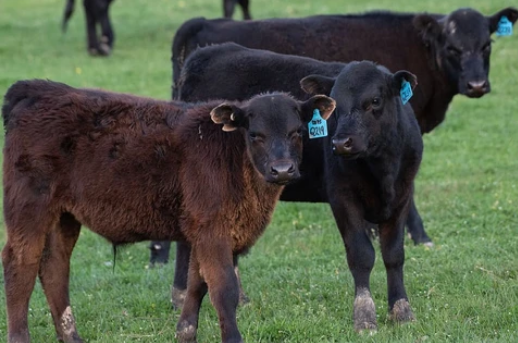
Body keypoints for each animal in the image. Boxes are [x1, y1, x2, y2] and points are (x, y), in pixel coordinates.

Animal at [1, 78, 338, 343]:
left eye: (297, 132)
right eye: (255, 134)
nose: (282, 169)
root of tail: (37, 90)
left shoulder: (202, 231)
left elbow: (197, 283)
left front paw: (186, 332)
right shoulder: (212, 229)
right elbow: (224, 288)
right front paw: (231, 337)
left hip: (64, 216)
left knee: (54, 266)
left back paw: (71, 336)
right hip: (29, 207)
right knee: (21, 264)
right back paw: (20, 336)